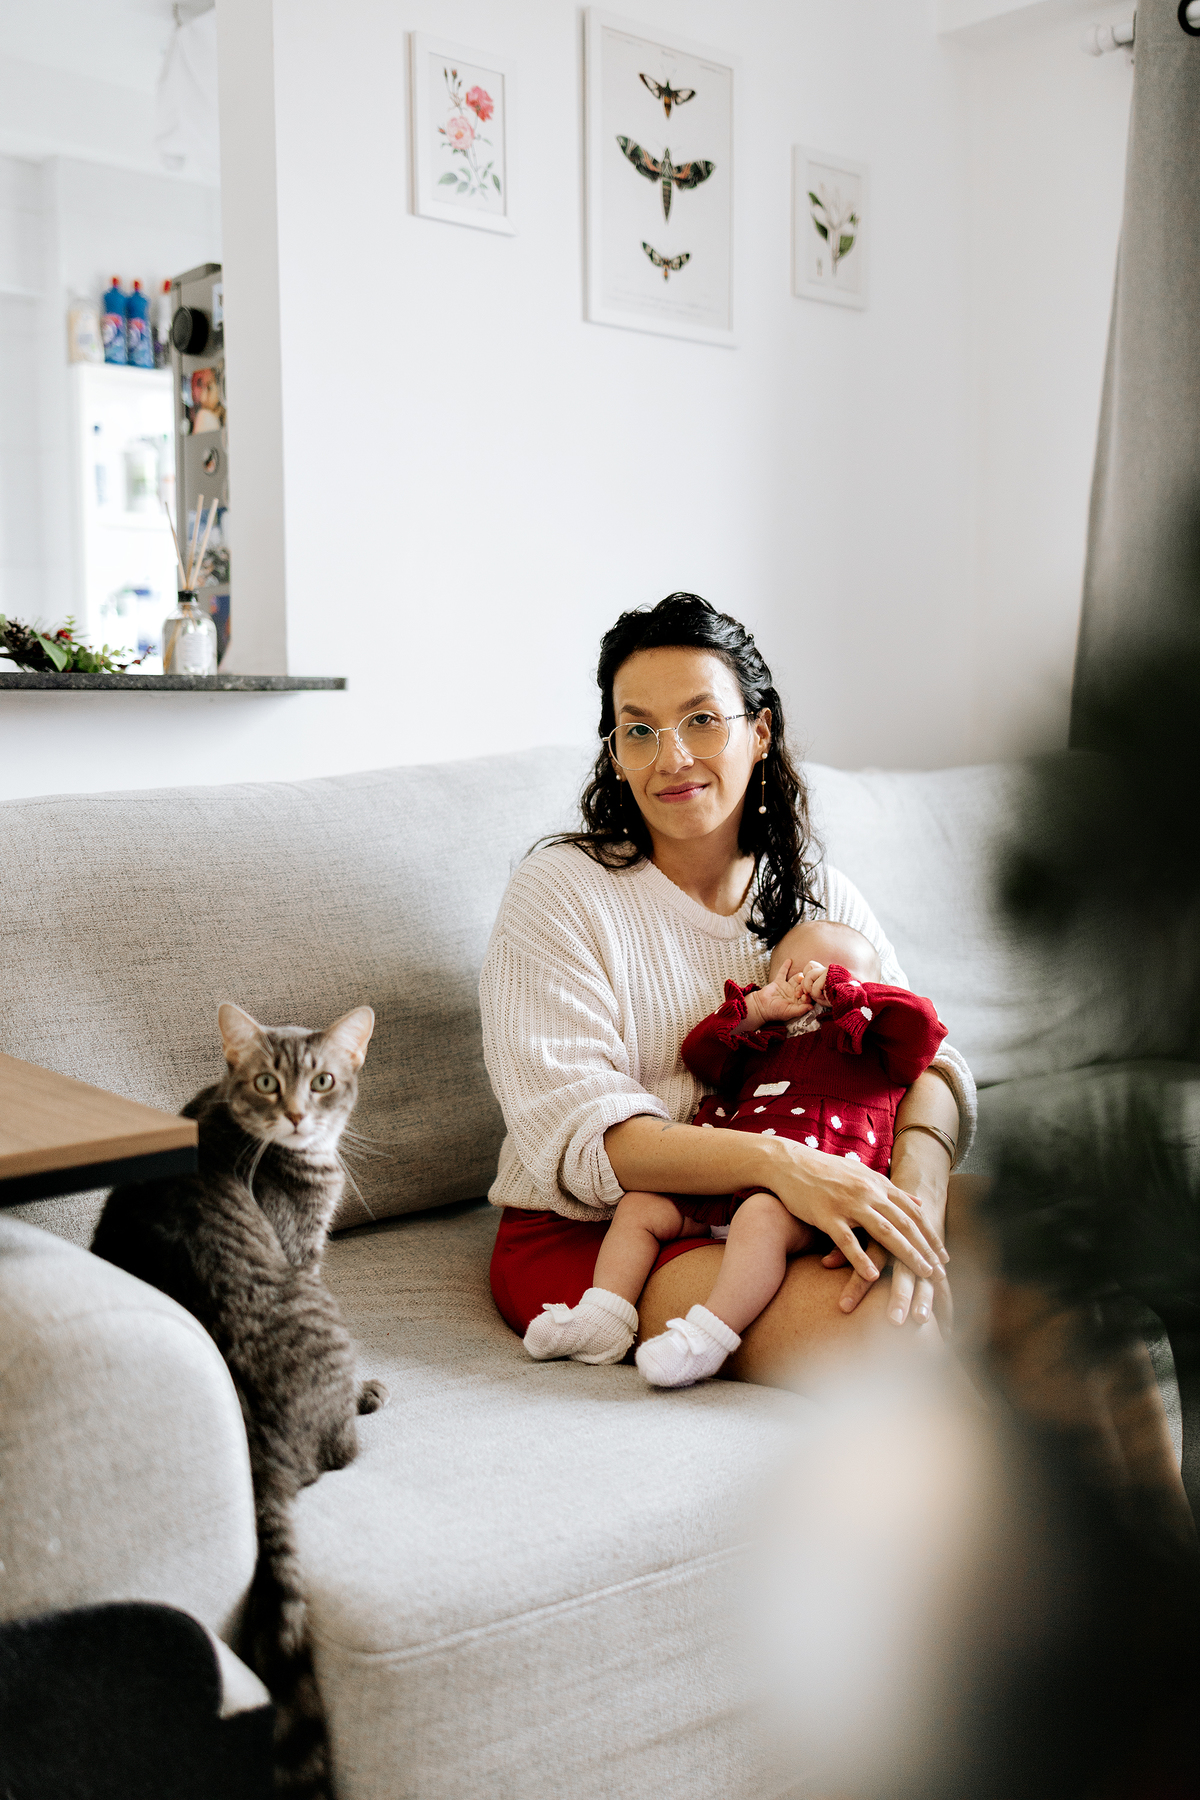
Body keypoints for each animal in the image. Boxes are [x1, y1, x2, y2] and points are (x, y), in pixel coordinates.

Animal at [91, 1002, 387, 1800]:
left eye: (323, 1081)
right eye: (266, 1083)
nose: (296, 1115)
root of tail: (259, 1454)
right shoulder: (306, 1252)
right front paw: (367, 1389)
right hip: (318, 1307)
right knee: (338, 1452)